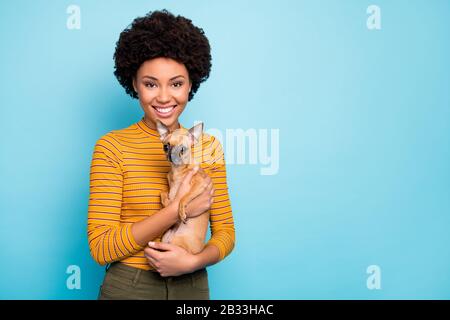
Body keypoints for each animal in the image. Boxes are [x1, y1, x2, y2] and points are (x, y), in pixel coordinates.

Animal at [156, 119, 210, 254]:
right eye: (166, 147)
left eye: (182, 149)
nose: (171, 155)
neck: (178, 171)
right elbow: (163, 194)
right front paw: (168, 202)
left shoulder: (200, 184)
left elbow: (183, 198)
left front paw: (180, 210)